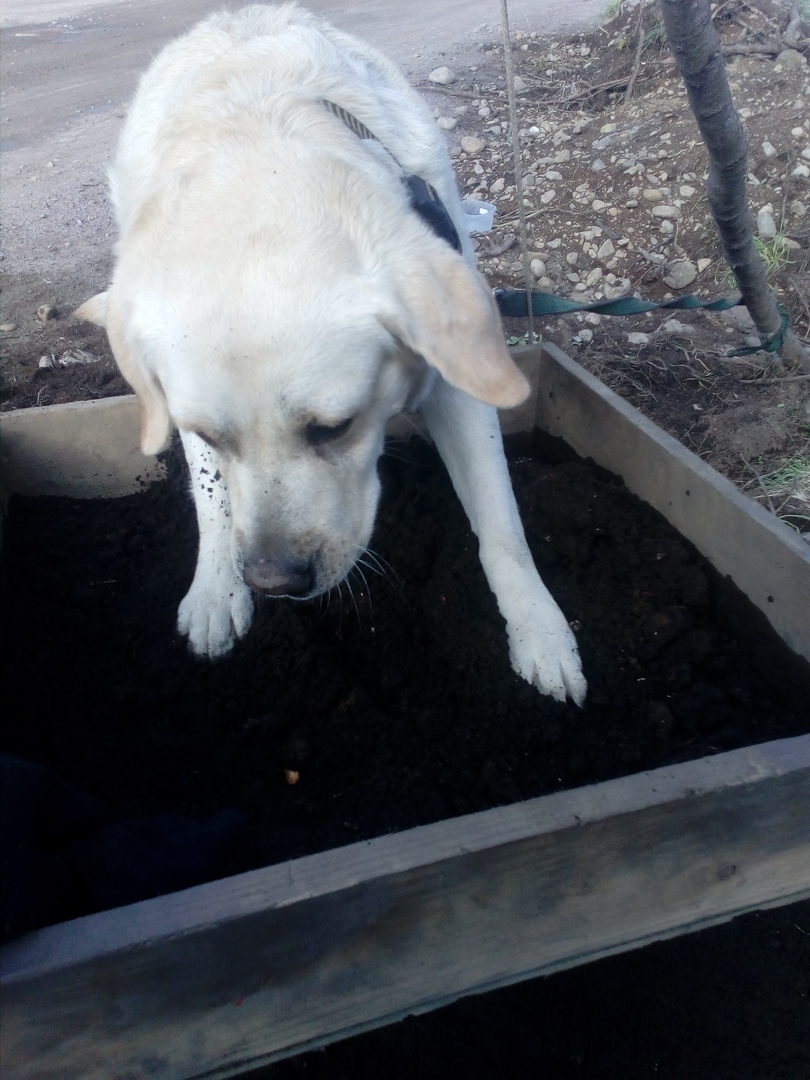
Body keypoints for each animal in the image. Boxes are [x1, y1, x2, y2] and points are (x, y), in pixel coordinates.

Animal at [76, 4, 587, 704]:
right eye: (210, 432)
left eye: (335, 427)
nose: (272, 582)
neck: (259, 138)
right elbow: (212, 497)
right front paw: (217, 590)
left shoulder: (459, 367)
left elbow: (501, 524)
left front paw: (541, 631)